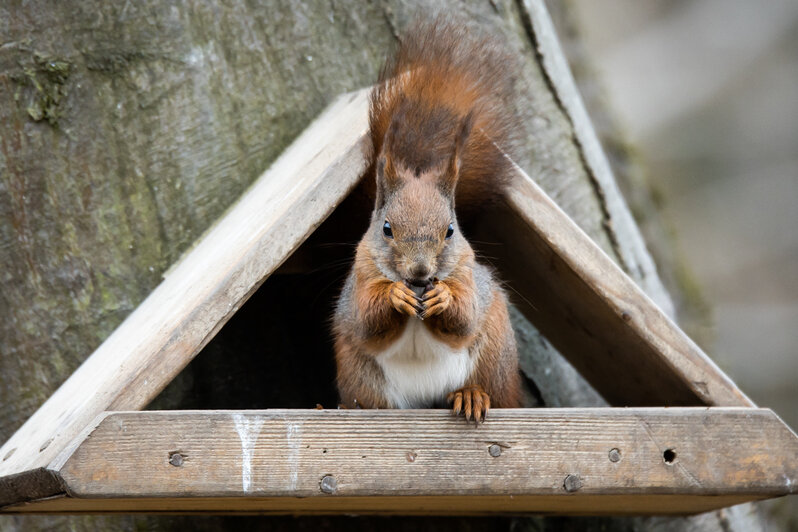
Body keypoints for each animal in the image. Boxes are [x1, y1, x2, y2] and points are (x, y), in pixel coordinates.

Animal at [332, 18, 524, 422]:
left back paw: (471, 396)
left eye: (450, 230)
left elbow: (464, 316)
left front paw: (443, 297)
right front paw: (395, 295)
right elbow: (368, 321)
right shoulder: (360, 277)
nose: (420, 273)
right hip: (359, 374)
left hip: (495, 357)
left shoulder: (468, 272)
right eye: (386, 228)